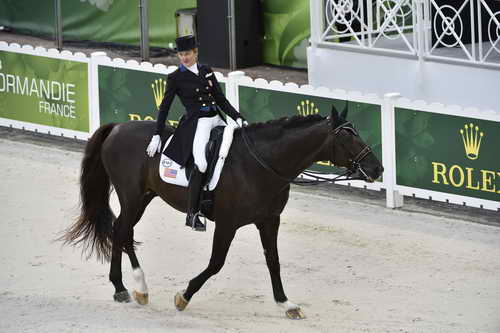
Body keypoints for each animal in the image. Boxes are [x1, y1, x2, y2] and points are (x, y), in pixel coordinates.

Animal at [60, 106, 384, 320]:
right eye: (348, 138)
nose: (377, 169)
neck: (262, 162)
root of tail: (117, 127)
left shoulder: (269, 220)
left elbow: (274, 261)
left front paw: (286, 303)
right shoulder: (228, 223)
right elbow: (216, 263)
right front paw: (183, 296)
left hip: (144, 197)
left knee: (121, 232)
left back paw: (127, 288)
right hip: (132, 197)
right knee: (122, 232)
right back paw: (132, 288)